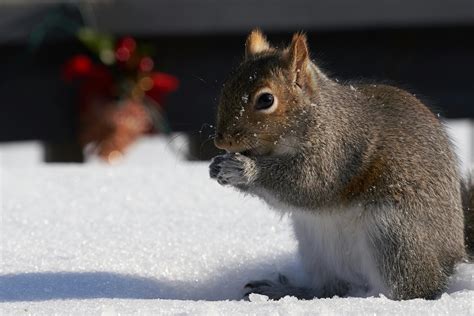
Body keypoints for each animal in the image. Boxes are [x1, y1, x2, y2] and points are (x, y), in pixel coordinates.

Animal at [210, 30, 474, 302]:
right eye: (227, 84)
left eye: (266, 100)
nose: (221, 141)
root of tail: (454, 255)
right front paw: (217, 167)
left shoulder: (338, 151)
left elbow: (307, 184)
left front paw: (244, 169)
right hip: (315, 247)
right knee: (328, 288)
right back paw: (288, 291)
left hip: (395, 235)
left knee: (412, 289)